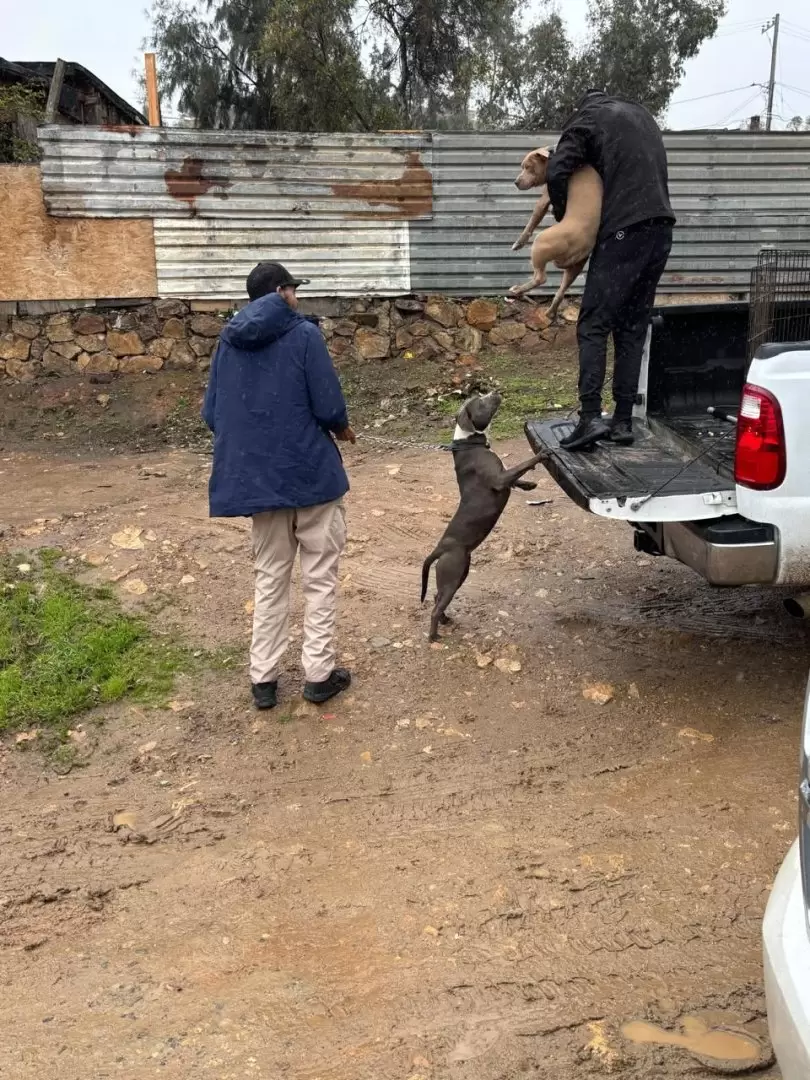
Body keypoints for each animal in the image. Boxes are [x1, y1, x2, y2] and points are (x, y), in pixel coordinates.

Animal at [514, 143, 604, 315]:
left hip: (541, 242)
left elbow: (532, 220)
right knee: (561, 291)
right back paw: (550, 312)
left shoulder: (546, 196)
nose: (515, 182)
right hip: (577, 265)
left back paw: (517, 290)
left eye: (528, 167)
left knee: (541, 278)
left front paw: (518, 243)